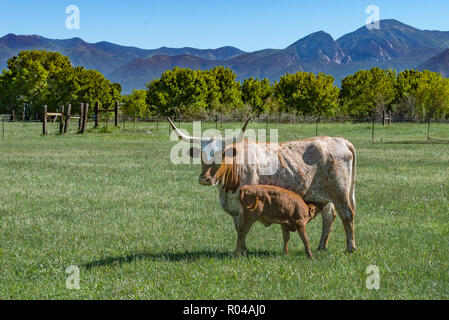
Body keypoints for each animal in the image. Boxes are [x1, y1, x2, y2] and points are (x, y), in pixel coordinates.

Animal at [168, 117, 356, 252]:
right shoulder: (234, 207)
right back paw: (322, 246)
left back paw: (350, 248)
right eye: (200, 155)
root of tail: (339, 140)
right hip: (324, 196)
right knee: (329, 216)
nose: (204, 178)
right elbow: (239, 228)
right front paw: (242, 249)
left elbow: (243, 228)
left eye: (221, 154)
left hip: (340, 191)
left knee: (347, 215)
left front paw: (241, 251)